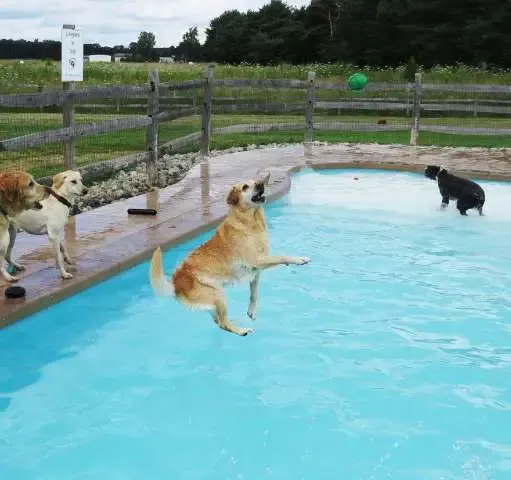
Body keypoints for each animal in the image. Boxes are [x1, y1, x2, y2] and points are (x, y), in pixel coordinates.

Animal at [150, 173, 310, 338]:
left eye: (255, 182)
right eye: (245, 187)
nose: (261, 183)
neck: (250, 221)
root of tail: (175, 284)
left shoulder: (255, 272)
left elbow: (254, 293)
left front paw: (251, 311)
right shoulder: (256, 262)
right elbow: (281, 256)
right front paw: (299, 259)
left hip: (213, 299)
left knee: (218, 321)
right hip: (217, 295)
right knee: (223, 323)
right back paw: (241, 330)